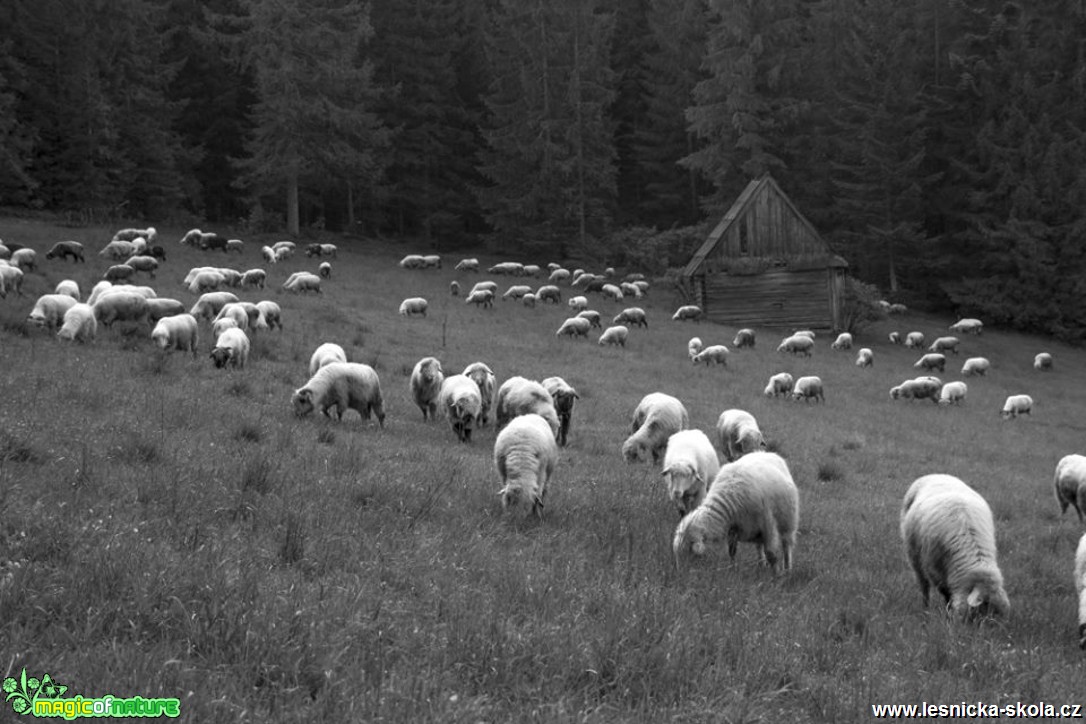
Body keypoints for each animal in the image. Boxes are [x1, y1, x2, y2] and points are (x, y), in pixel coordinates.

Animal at [673, 453, 803, 577]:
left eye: (689, 549)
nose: (681, 572)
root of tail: (767, 453)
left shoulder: (768, 523)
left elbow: (771, 553)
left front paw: (777, 576)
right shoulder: (734, 527)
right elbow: (732, 551)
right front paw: (732, 569)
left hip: (788, 522)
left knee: (786, 545)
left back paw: (787, 569)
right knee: (759, 546)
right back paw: (761, 564)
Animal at [899, 475, 1007, 625]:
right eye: (982, 610)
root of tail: (935, 475)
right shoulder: (936, 570)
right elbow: (946, 595)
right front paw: (948, 616)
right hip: (914, 555)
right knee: (924, 585)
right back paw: (925, 609)